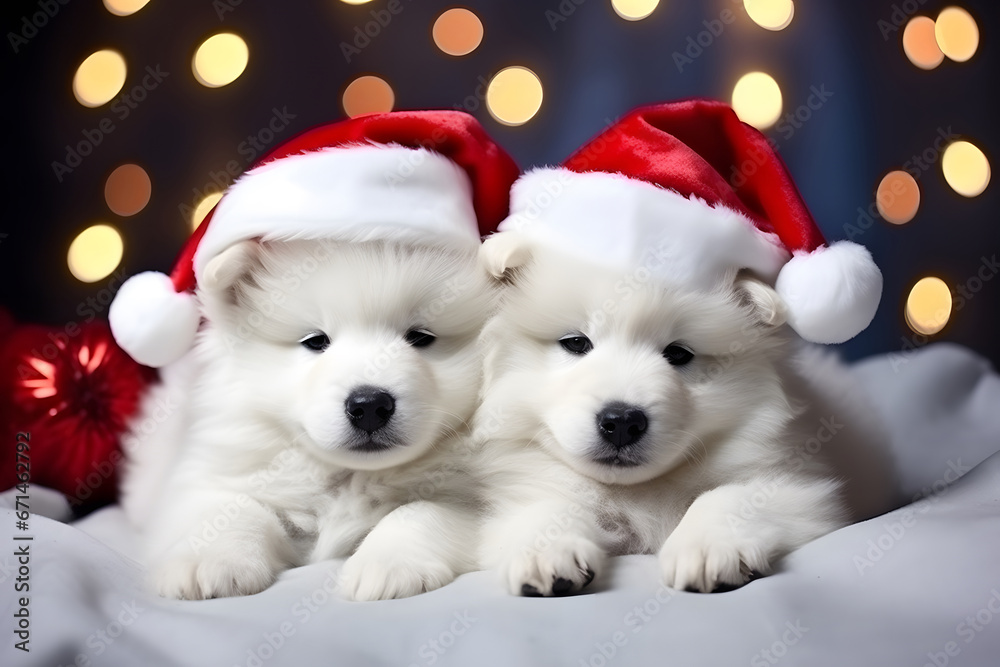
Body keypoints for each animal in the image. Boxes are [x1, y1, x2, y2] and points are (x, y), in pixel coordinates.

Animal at [123, 239, 494, 600]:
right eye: (316, 342)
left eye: (420, 337)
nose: (369, 405)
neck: (351, 476)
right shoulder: (208, 476)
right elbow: (228, 509)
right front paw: (209, 561)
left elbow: (423, 510)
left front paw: (385, 564)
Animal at [472, 237, 896, 596]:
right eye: (576, 343)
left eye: (678, 354)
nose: (622, 421)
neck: (638, 492)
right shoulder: (524, 486)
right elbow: (545, 506)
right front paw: (545, 553)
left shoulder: (801, 489)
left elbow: (726, 495)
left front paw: (706, 549)